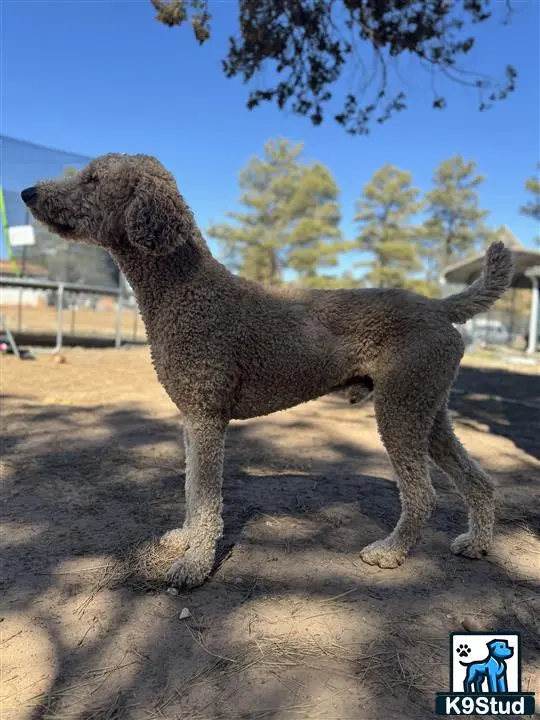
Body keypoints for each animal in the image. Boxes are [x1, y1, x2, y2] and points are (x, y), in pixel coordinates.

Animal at [20, 155, 510, 588]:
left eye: (93, 178)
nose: (27, 192)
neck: (184, 287)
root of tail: (437, 306)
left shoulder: (207, 418)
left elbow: (206, 500)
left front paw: (195, 566)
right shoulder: (191, 420)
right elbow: (191, 491)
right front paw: (186, 540)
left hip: (399, 410)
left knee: (423, 494)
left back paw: (390, 552)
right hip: (429, 411)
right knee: (480, 480)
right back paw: (476, 543)